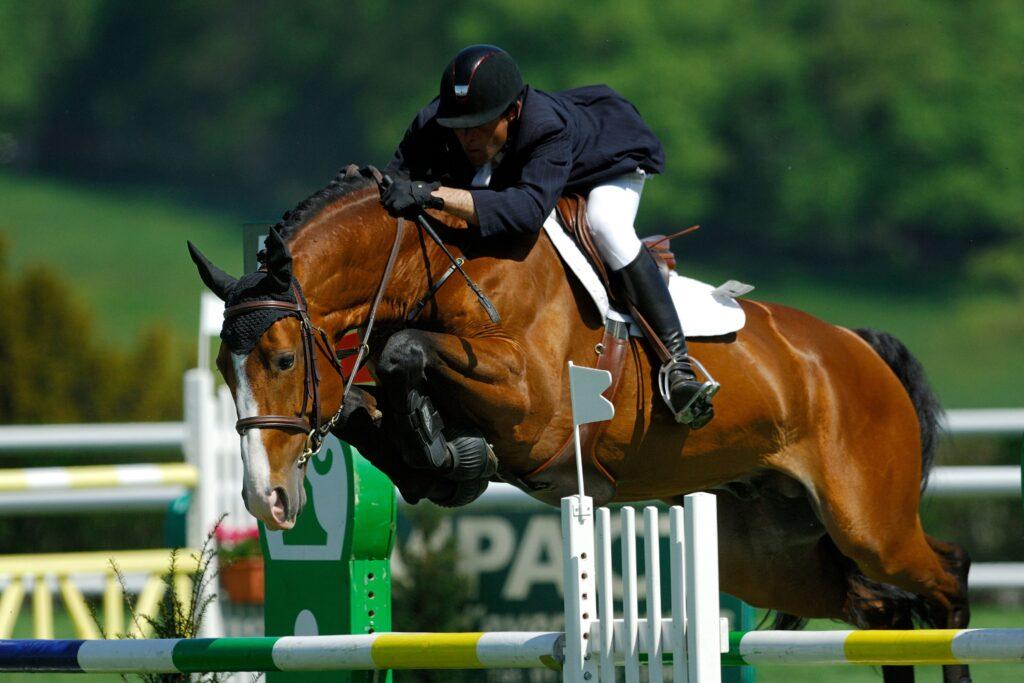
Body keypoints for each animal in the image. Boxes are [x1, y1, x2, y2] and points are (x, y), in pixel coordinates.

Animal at [189, 166, 972, 683]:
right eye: (225, 369)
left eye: (283, 358)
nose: (267, 500)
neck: (439, 265)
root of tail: (857, 347)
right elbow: (369, 397)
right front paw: (443, 460)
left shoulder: (533, 402)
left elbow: (401, 349)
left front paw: (446, 450)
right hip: (777, 557)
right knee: (883, 612)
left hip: (868, 522)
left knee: (945, 576)